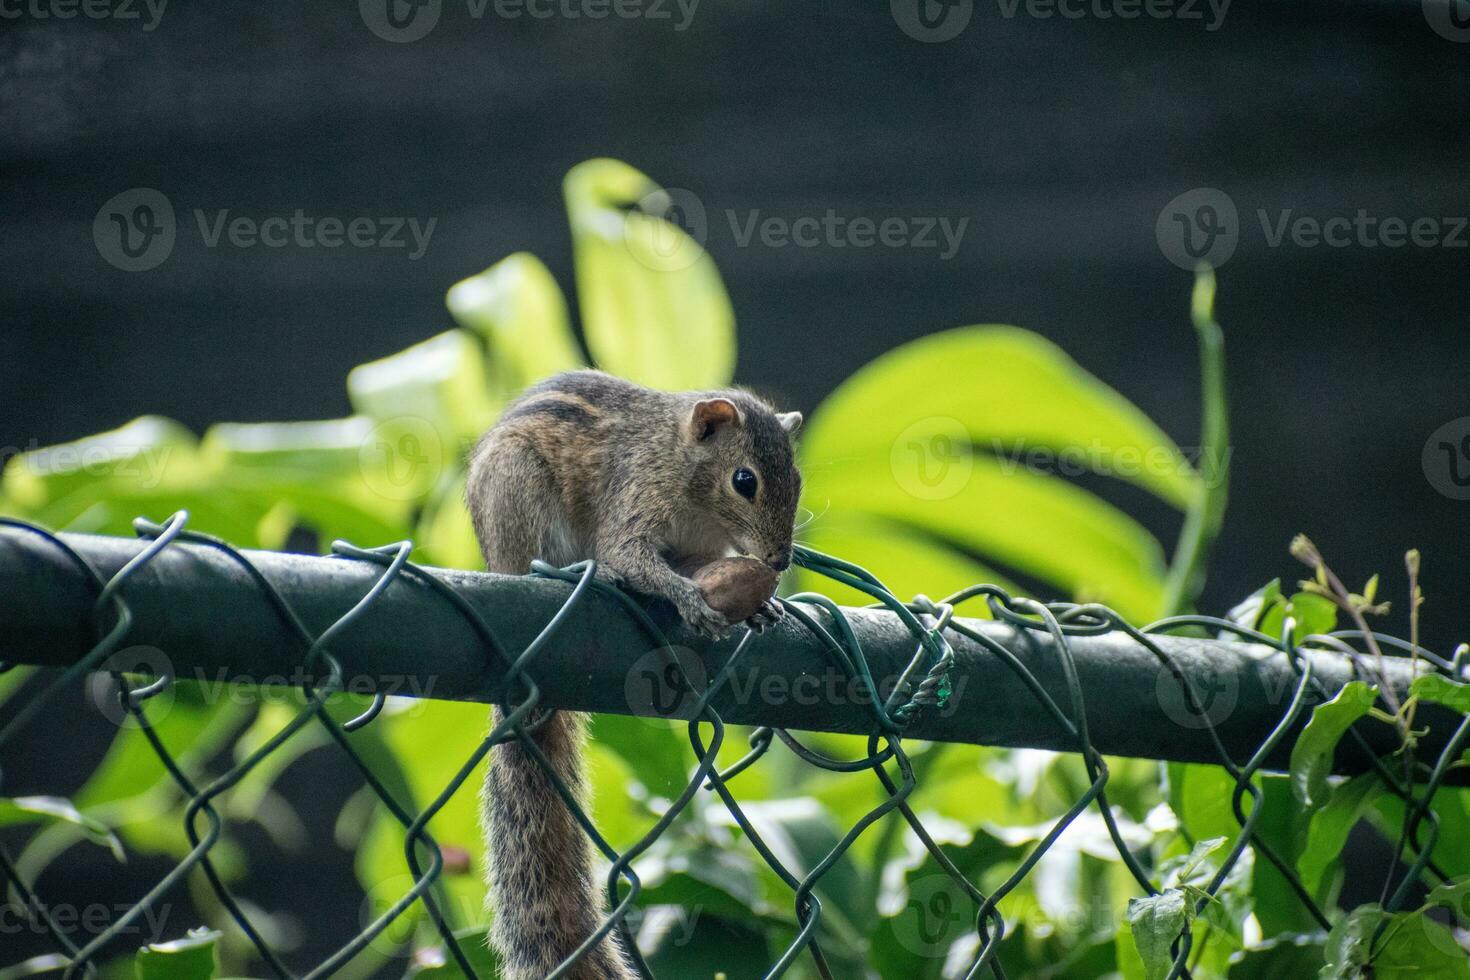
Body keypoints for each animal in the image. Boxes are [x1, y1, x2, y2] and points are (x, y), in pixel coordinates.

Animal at [464, 370, 799, 980]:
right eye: (745, 481)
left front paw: (761, 606)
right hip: (519, 490)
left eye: (798, 478)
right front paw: (687, 599)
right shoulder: (636, 499)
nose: (780, 561)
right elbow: (632, 557)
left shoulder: (700, 548)